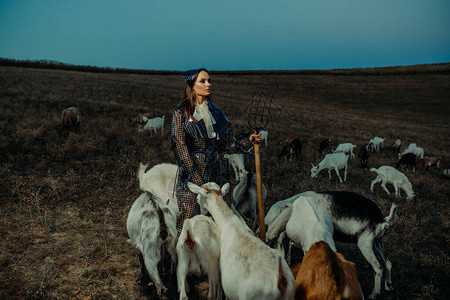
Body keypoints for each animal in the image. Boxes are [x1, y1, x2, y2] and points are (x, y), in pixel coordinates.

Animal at [266, 191, 400, 298]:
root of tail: (382, 219)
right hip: (377, 241)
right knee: (388, 263)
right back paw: (388, 286)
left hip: (365, 244)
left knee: (378, 267)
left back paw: (374, 294)